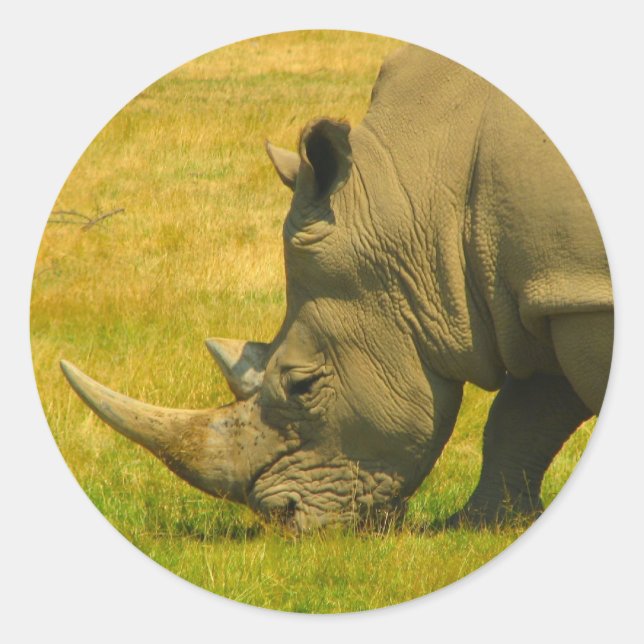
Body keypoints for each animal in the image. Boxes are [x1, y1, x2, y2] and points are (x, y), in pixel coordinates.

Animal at [61, 45, 613, 532]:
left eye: (302, 385)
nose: (283, 520)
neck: (421, 203)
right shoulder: (551, 290)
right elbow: (524, 414)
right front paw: (482, 524)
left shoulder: (578, 290)